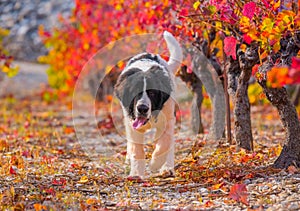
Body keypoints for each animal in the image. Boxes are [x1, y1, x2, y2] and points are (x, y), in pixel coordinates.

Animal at [113, 30, 182, 176]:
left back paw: (167, 168)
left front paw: (156, 163)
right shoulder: (131, 123)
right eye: (135, 91)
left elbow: (164, 143)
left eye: (152, 93)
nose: (142, 108)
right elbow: (137, 149)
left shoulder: (168, 117)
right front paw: (136, 174)